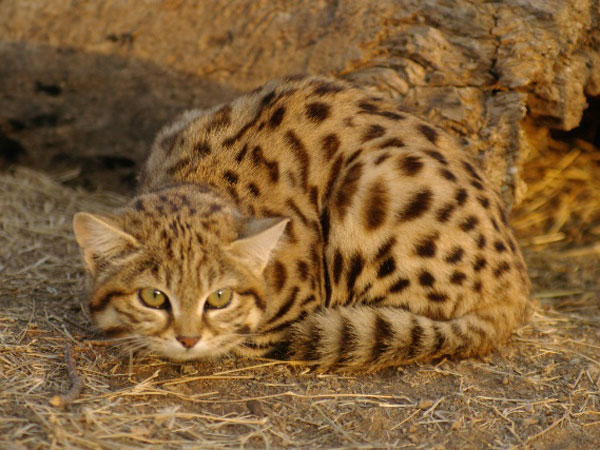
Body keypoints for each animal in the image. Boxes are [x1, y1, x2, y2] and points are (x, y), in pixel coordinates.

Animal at [74, 75, 528, 370]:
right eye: (153, 297)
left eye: (219, 298)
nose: (187, 339)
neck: (201, 176)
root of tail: (514, 290)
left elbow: (245, 337)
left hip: (368, 189)